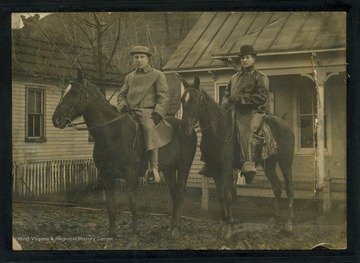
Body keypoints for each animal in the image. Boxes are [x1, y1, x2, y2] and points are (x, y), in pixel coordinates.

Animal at [52, 71, 197, 240]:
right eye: (63, 91)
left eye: (75, 92)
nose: (56, 119)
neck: (111, 133)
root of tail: (188, 128)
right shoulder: (106, 175)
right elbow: (110, 206)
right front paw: (112, 234)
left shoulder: (130, 174)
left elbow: (132, 203)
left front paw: (135, 232)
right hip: (168, 169)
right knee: (173, 193)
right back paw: (171, 227)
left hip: (184, 167)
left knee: (179, 193)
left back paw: (176, 230)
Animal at [181, 76, 294, 239]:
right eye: (182, 100)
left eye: (195, 100)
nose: (185, 128)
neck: (219, 130)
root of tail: (285, 124)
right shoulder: (215, 170)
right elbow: (221, 195)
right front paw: (222, 226)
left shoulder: (227, 169)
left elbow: (228, 195)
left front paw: (229, 229)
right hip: (269, 164)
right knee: (277, 187)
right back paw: (275, 221)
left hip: (286, 162)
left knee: (289, 188)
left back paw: (289, 224)